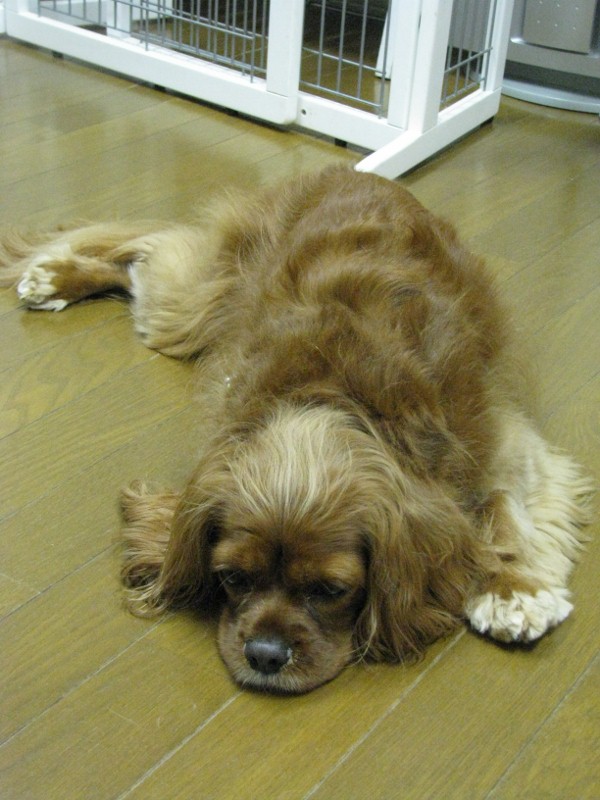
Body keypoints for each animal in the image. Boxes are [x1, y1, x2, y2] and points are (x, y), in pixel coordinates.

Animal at [1, 165, 592, 694]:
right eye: (232, 578)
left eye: (331, 589)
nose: (265, 654)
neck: (332, 395)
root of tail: (352, 171)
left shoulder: (503, 435)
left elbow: (502, 506)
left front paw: (513, 586)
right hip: (184, 306)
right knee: (147, 248)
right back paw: (54, 276)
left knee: (148, 251)